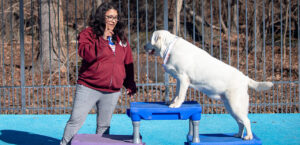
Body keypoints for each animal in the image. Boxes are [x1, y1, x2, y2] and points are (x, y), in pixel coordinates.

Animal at [144, 30, 274, 140]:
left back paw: (248, 137)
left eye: (150, 40)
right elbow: (176, 94)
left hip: (235, 106)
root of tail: (245, 78)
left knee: (247, 121)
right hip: (230, 107)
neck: (169, 48)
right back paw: (238, 135)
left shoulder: (183, 78)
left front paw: (176, 105)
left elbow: (180, 95)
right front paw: (171, 102)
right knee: (241, 122)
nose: (144, 46)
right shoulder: (179, 80)